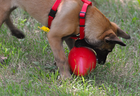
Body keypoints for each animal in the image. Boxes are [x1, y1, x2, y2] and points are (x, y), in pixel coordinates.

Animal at [0, 0, 130, 79]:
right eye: (108, 50)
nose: (102, 62)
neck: (83, 17)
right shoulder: (54, 36)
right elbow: (61, 58)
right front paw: (66, 77)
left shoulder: (68, 38)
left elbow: (70, 51)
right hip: (3, 10)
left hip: (8, 8)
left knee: (7, 16)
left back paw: (16, 32)